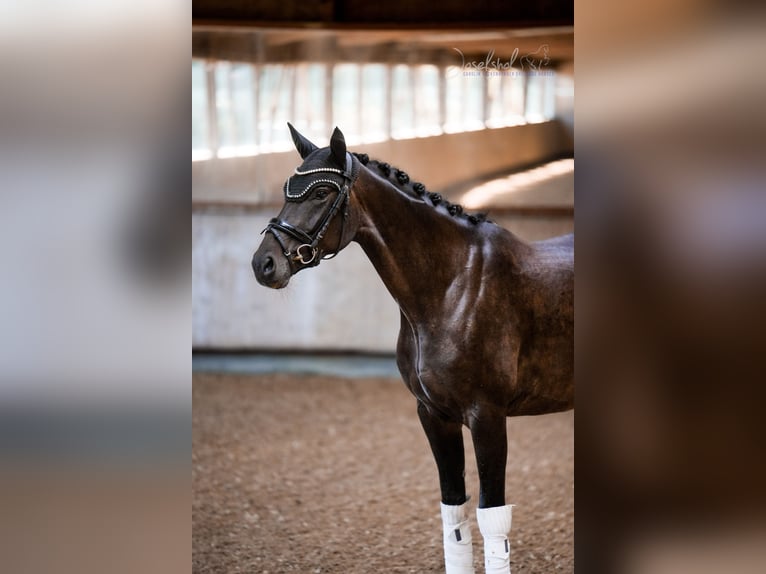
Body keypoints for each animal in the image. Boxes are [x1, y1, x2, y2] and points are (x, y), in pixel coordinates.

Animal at [252, 124, 574, 574]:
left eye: (321, 192)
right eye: (287, 190)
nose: (263, 264)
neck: (453, 286)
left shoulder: (487, 416)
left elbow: (493, 519)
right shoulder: (434, 415)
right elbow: (454, 514)